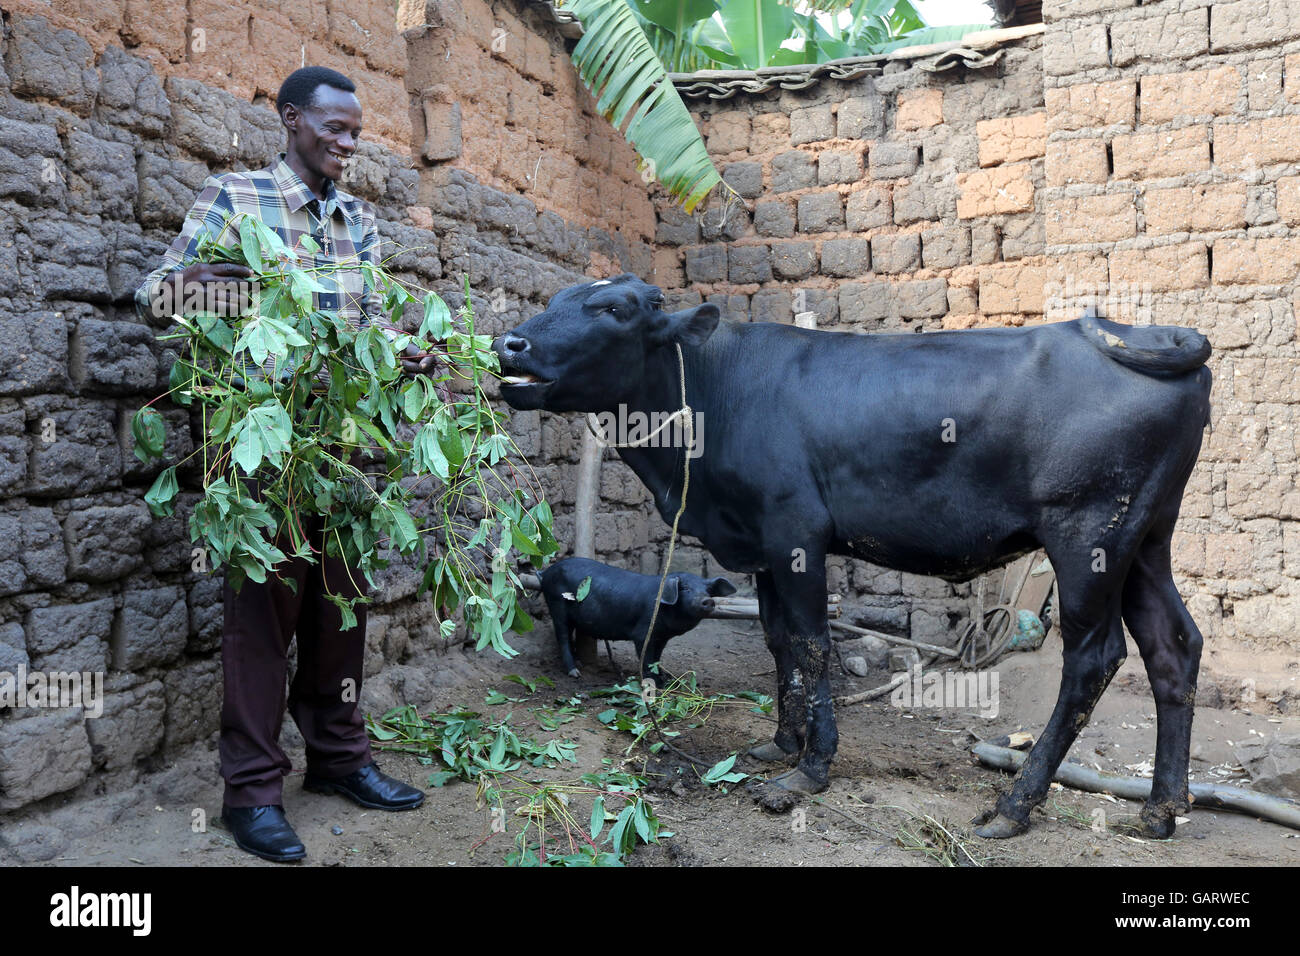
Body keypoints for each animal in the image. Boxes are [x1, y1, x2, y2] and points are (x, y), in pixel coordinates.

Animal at [493, 274, 1212, 839]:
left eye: (614, 309)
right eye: (555, 298)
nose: (509, 343)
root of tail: (1153, 334)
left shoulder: (796, 530)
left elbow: (814, 644)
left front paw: (809, 772)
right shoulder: (760, 541)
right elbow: (778, 639)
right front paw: (779, 743)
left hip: (1088, 535)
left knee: (1093, 659)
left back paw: (1016, 804)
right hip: (1146, 538)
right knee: (1173, 645)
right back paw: (1161, 809)